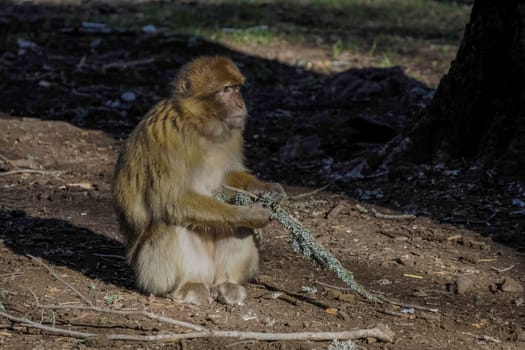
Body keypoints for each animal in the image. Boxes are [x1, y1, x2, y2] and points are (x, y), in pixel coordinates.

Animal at [110, 56, 282, 304]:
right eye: (226, 90)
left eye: (237, 88)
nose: (240, 105)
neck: (201, 126)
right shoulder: (170, 138)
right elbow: (171, 200)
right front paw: (249, 213)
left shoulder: (233, 134)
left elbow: (228, 176)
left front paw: (265, 188)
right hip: (152, 275)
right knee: (172, 219)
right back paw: (189, 285)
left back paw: (226, 284)